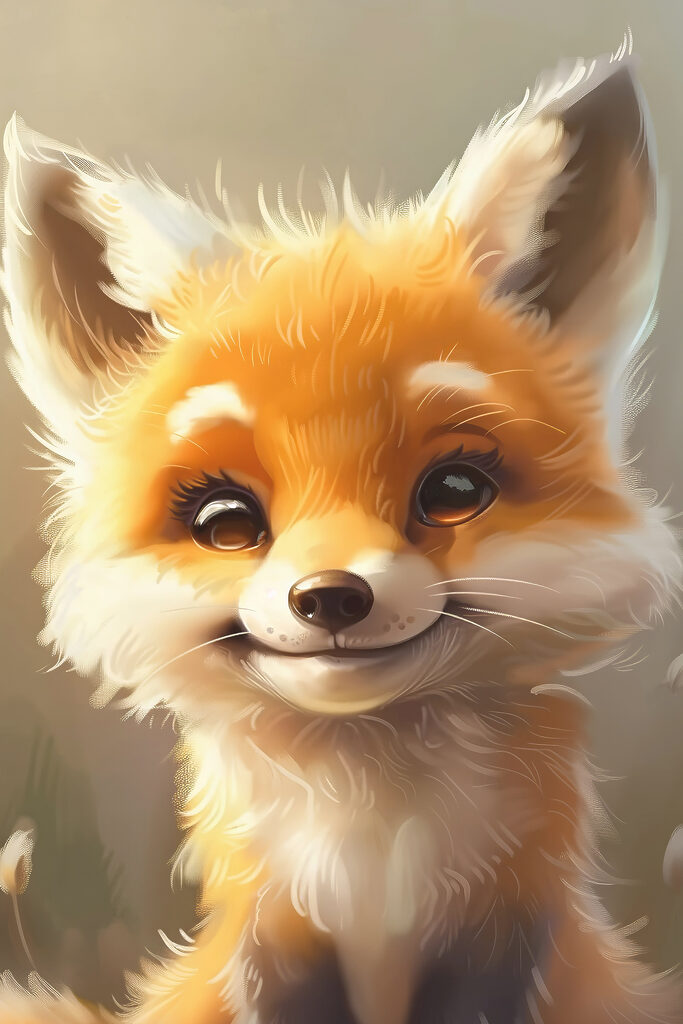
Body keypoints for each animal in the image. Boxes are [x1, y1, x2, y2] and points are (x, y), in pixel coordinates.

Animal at [0, 42, 681, 1024]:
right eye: (224, 520)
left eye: (454, 490)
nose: (330, 597)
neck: (372, 861)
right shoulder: (275, 950)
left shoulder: (501, 943)